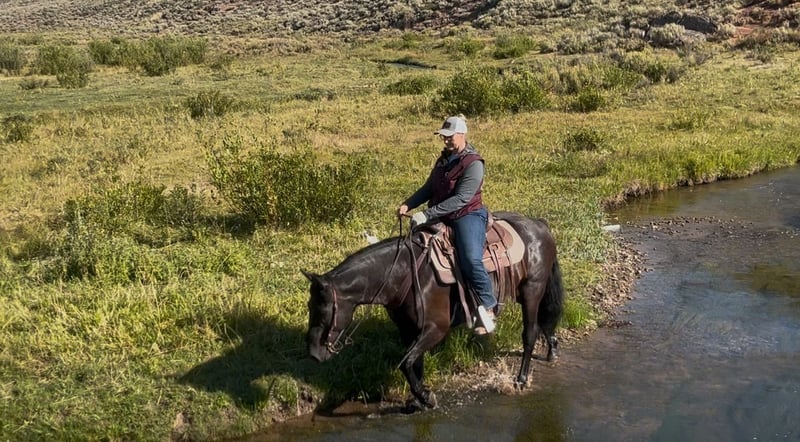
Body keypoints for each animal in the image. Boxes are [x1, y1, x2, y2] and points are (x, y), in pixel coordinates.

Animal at [302, 211, 564, 409]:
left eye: (323, 308)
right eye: (309, 305)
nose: (313, 353)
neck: (404, 273)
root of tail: (539, 225)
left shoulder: (436, 328)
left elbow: (405, 363)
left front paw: (426, 397)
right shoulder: (408, 329)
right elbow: (413, 363)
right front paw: (418, 399)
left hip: (532, 290)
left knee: (530, 333)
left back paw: (520, 379)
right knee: (545, 321)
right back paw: (552, 349)